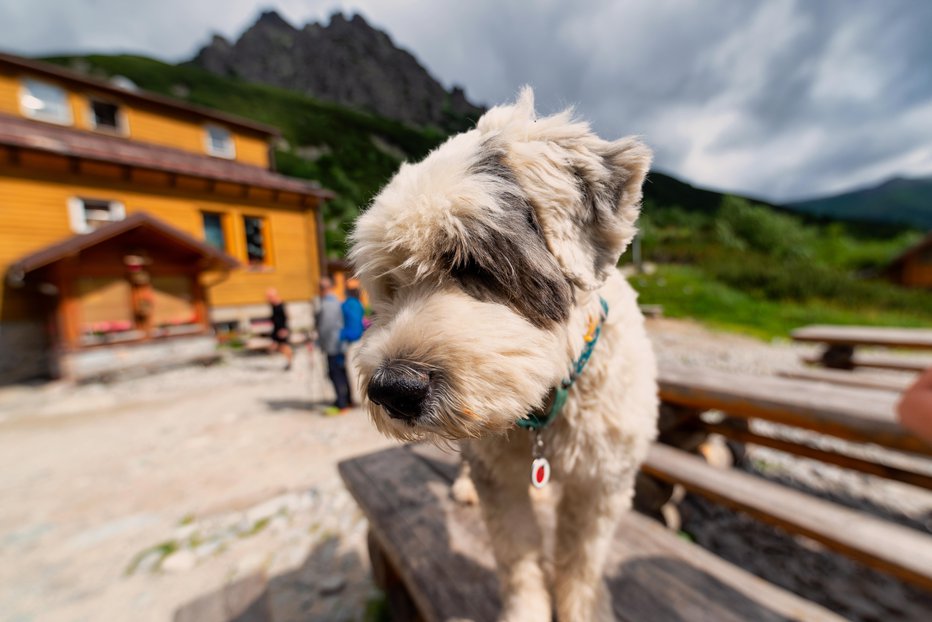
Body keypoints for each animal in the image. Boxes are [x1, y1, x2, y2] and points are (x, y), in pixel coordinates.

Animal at [352, 89, 664, 622]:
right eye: (390, 286)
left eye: (470, 263)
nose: (393, 390)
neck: (548, 410)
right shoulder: (500, 478)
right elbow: (517, 558)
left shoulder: (602, 483)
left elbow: (582, 563)